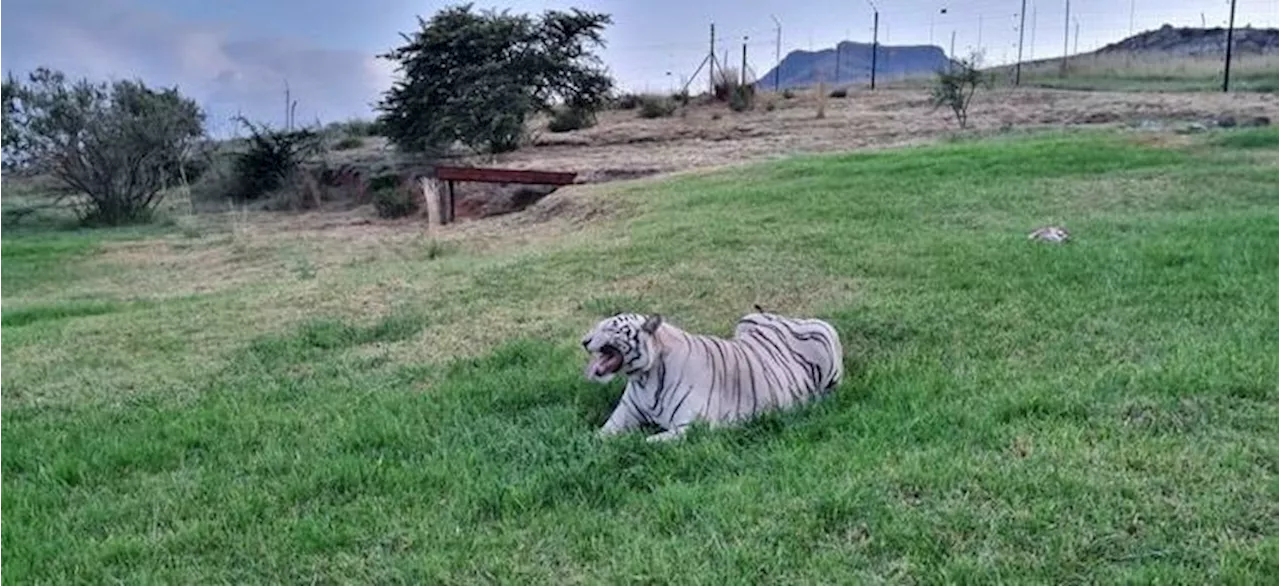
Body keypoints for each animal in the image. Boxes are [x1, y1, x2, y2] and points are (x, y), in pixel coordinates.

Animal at [578, 307, 839, 440]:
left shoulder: (692, 426)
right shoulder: (622, 417)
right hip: (744, 320)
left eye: (611, 329)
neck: (644, 378)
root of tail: (785, 318)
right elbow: (597, 436)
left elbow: (647, 441)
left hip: (826, 333)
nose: (584, 341)